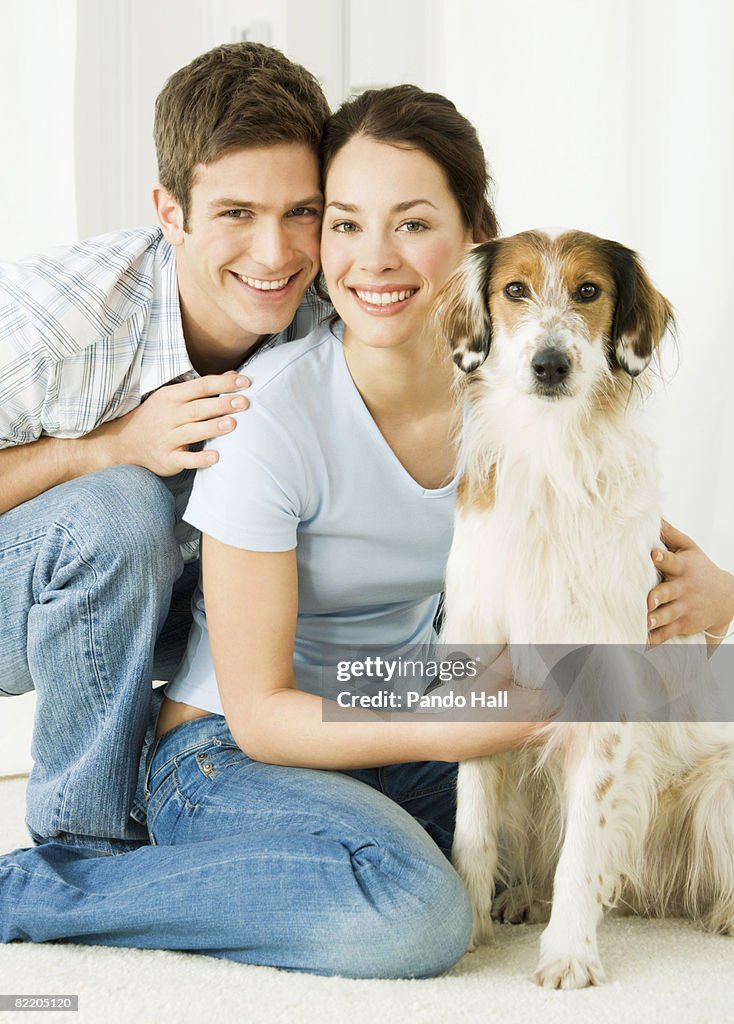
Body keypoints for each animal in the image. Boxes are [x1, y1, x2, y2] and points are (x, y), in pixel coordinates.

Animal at [432, 230, 732, 983]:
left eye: (589, 291)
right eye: (514, 290)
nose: (550, 363)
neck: (551, 460)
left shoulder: (604, 704)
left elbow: (582, 853)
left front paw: (569, 952)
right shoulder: (479, 687)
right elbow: (473, 831)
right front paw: (472, 933)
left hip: (720, 788)